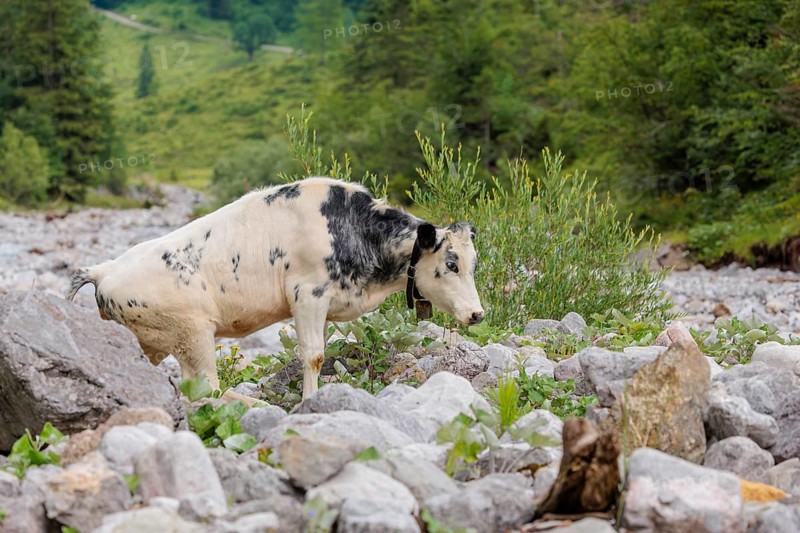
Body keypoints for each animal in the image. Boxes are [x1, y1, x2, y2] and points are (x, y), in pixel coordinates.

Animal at [65, 177, 484, 405]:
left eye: (473, 261)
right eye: (451, 263)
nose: (477, 314)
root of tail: (104, 270)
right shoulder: (307, 296)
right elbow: (313, 356)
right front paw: (309, 401)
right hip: (193, 333)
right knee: (207, 390)